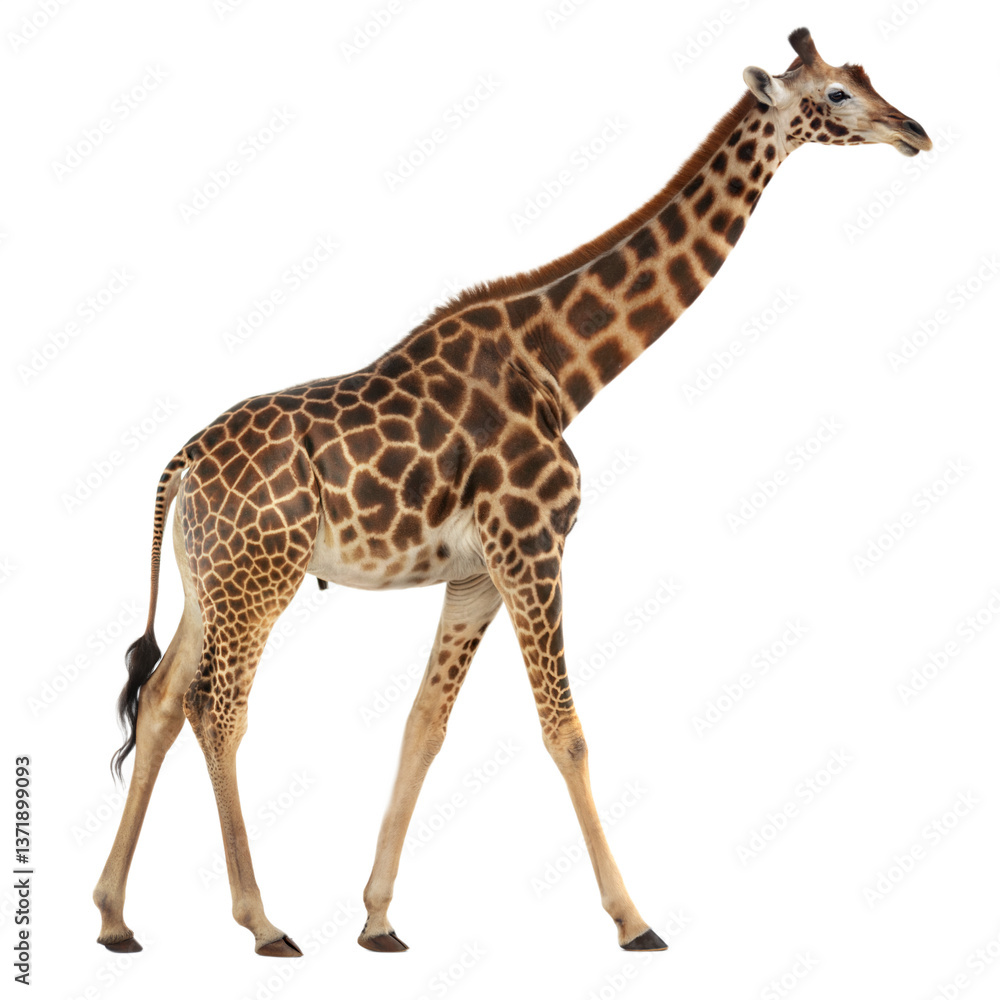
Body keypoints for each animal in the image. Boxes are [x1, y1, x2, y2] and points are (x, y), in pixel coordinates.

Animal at [93, 28, 931, 957]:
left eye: (864, 77)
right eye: (838, 95)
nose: (916, 133)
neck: (562, 368)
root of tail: (180, 465)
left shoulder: (475, 575)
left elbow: (425, 727)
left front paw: (379, 918)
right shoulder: (533, 547)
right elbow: (566, 731)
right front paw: (634, 920)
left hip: (210, 582)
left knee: (162, 701)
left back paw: (115, 918)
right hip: (259, 579)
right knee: (220, 709)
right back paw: (262, 921)